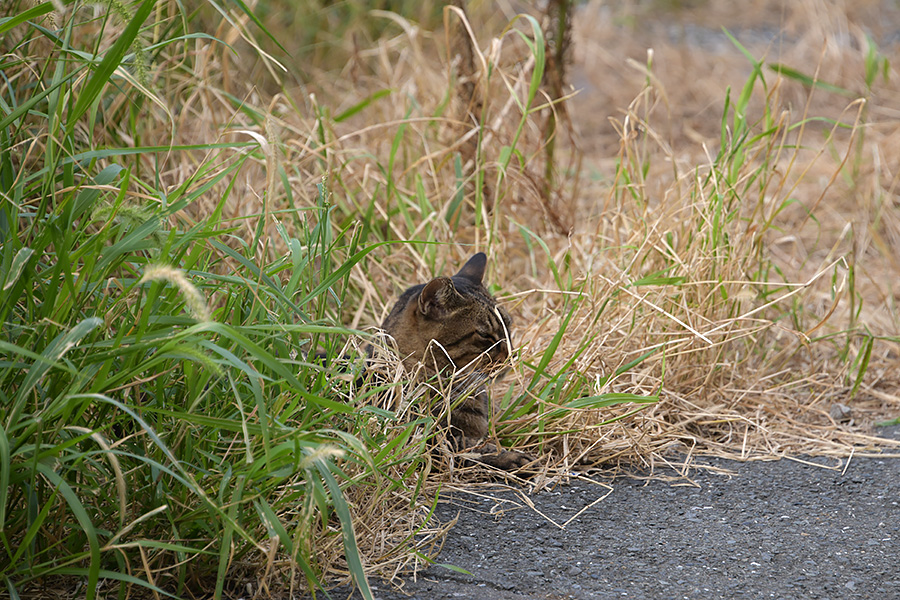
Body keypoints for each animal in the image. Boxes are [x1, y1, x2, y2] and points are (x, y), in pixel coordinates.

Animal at [380, 251, 536, 472]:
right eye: (485, 335)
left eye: (508, 325)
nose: (511, 357)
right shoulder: (431, 444)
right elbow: (478, 452)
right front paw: (513, 457)